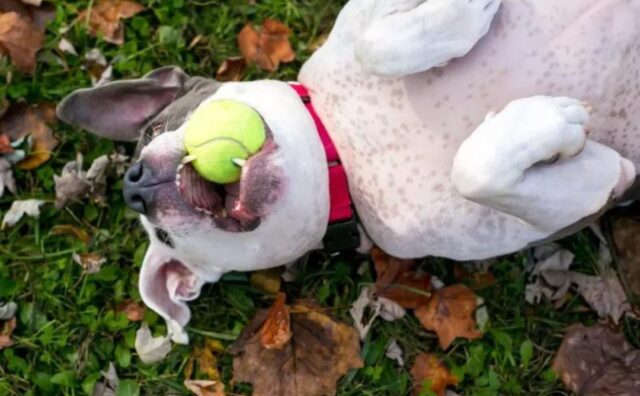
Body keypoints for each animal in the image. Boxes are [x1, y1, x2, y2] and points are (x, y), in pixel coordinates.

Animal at [56, 0, 640, 340]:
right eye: (165, 240)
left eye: (158, 128)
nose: (134, 185)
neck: (343, 149)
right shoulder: (568, 205)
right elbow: (478, 168)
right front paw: (552, 128)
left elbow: (374, 43)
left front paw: (462, 11)